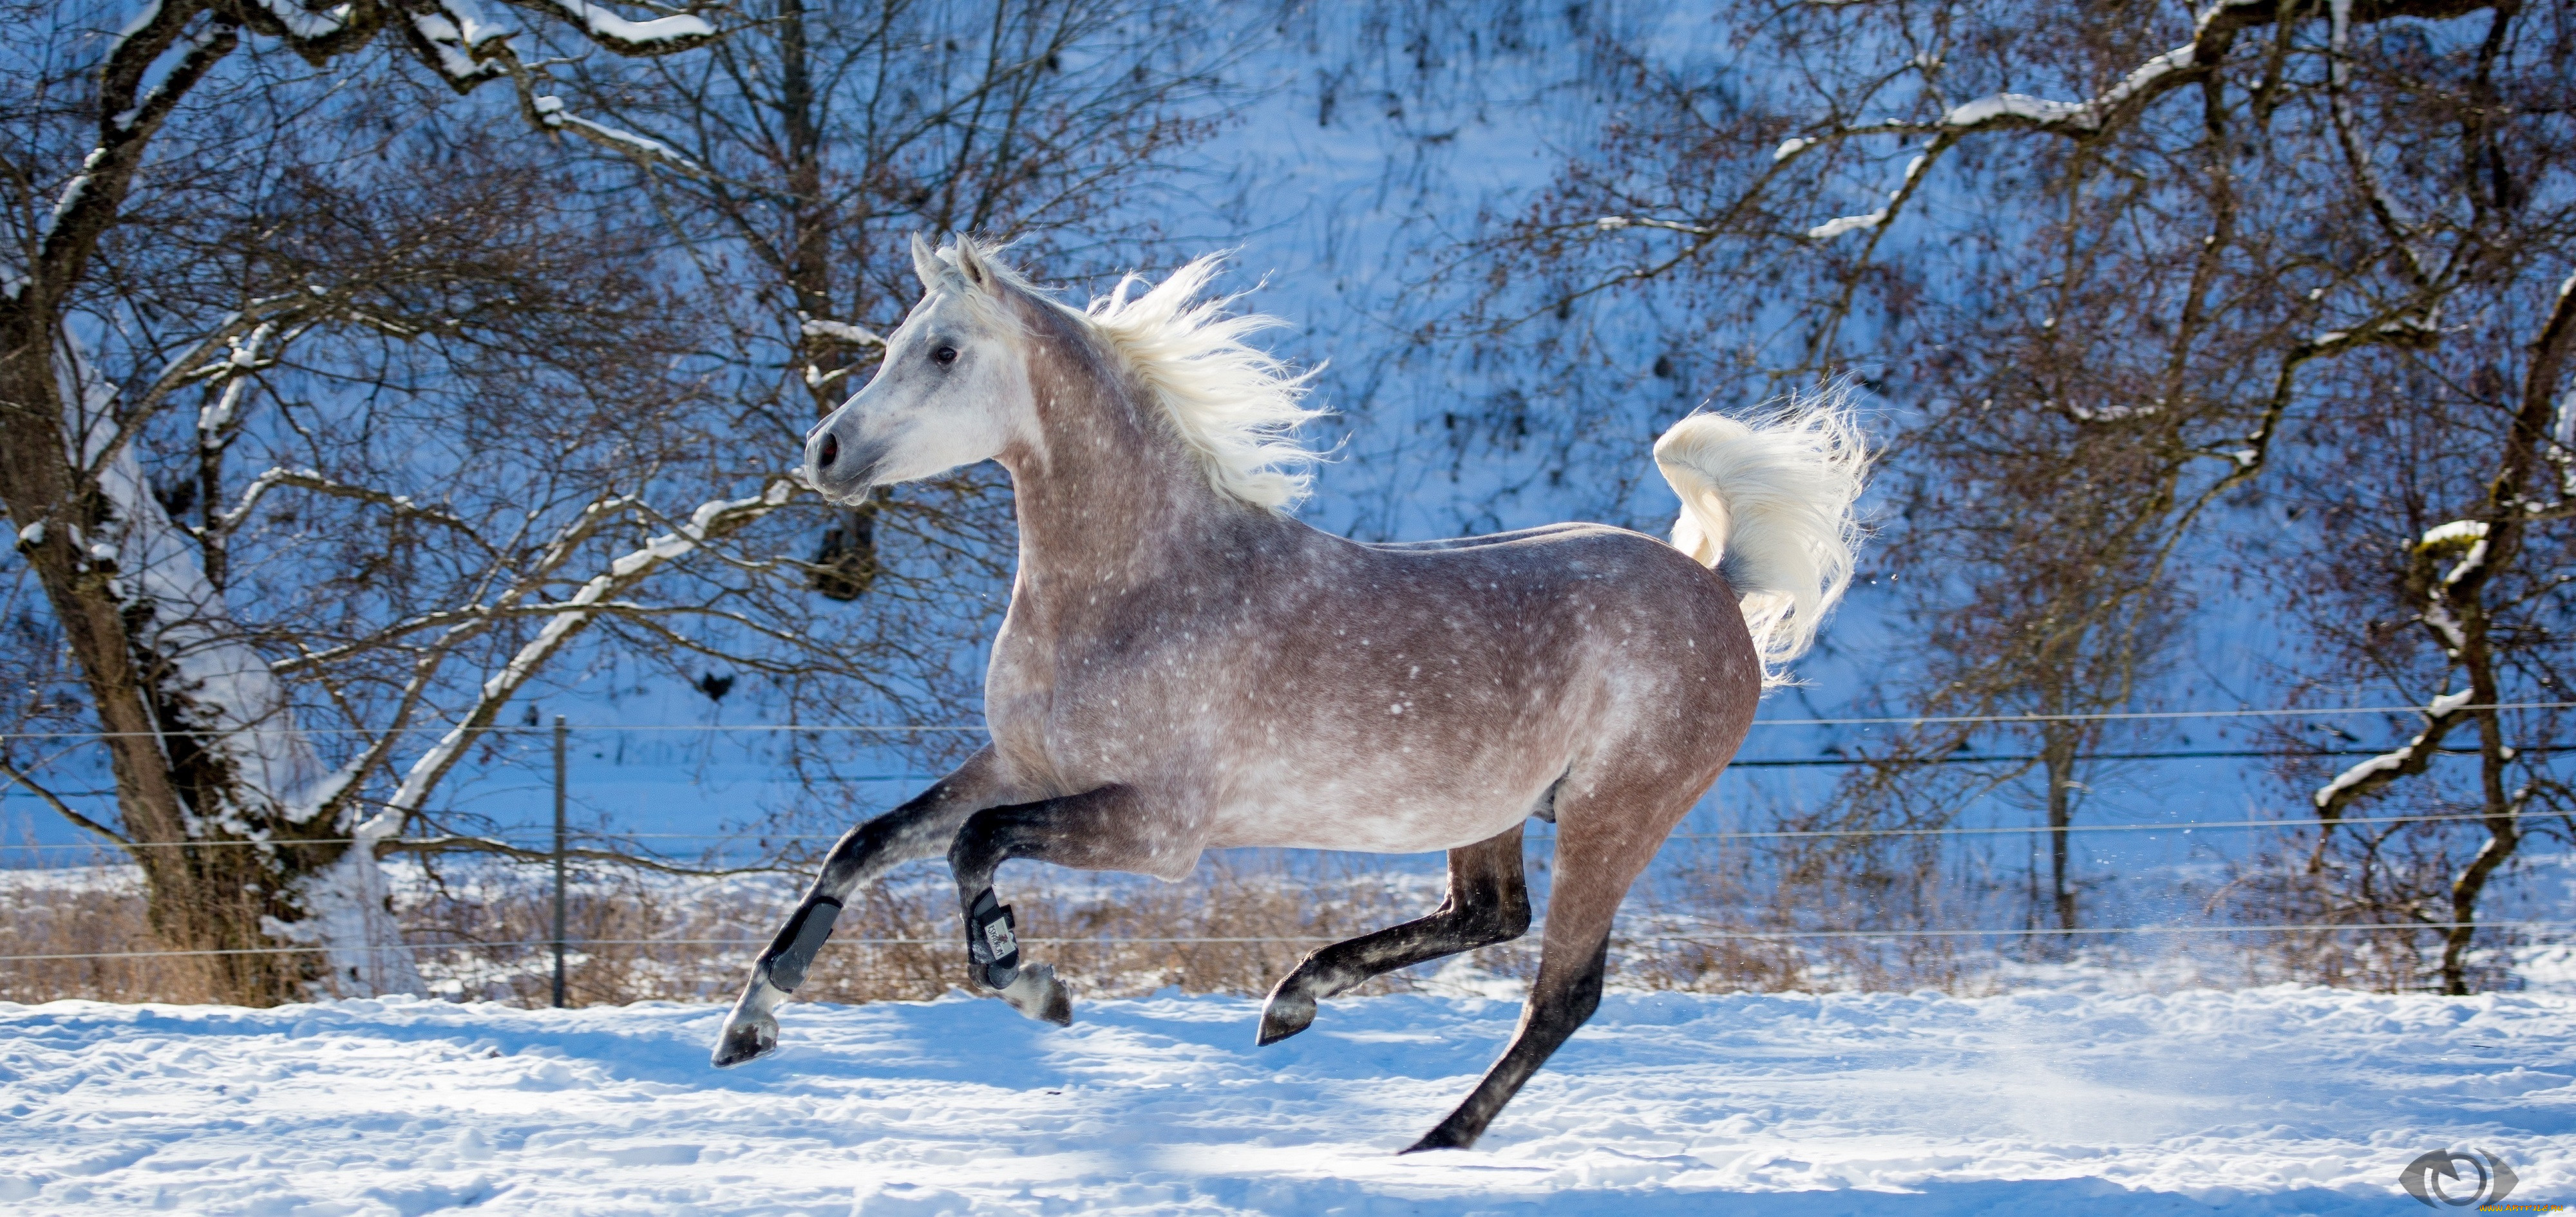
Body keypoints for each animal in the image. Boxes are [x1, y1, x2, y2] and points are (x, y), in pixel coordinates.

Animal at [711, 236, 1875, 1149]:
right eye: (894, 344)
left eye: (945, 351)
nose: (824, 452)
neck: (1140, 589)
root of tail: (1719, 590)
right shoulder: (1020, 762)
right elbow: (866, 844)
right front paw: (748, 1026)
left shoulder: (1158, 828)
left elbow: (972, 848)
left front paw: (1036, 986)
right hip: (1492, 810)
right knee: (1487, 914)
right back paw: (1293, 1001)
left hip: (1613, 815)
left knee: (1562, 993)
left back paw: (1431, 1142)